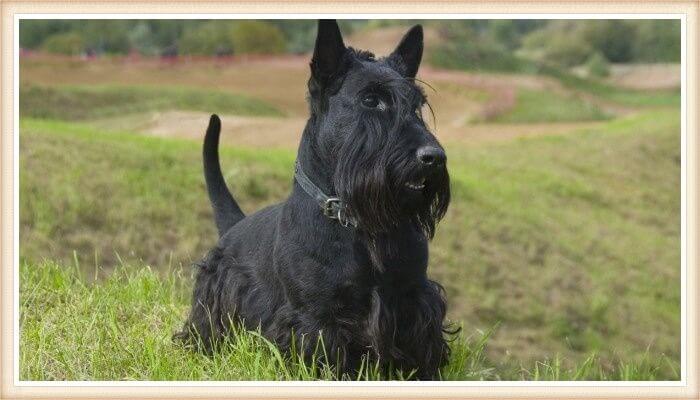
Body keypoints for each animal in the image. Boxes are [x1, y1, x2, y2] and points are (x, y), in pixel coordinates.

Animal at [176, 20, 454, 380]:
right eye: (370, 99)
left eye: (417, 104)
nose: (433, 157)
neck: (356, 221)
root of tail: (235, 226)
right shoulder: (316, 317)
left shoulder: (413, 299)